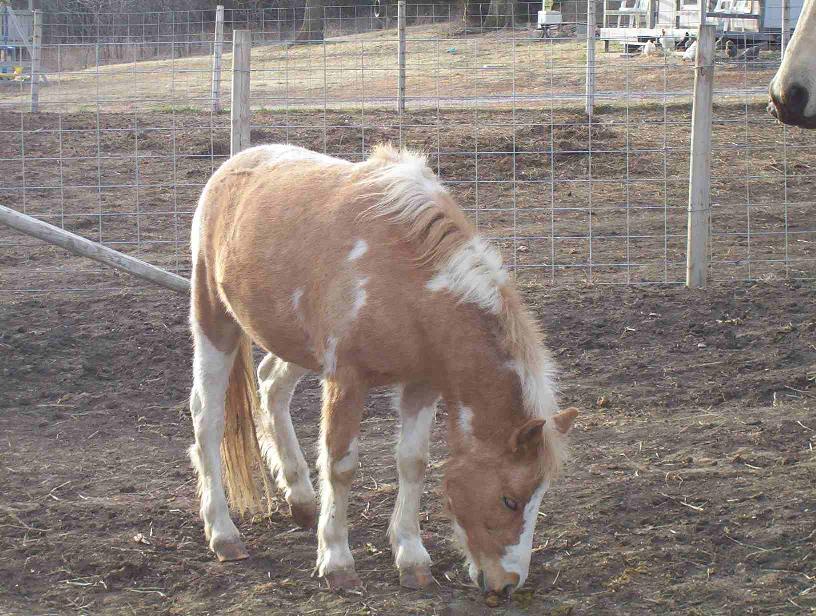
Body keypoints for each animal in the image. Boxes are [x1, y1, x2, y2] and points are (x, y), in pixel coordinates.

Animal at [188, 142, 578, 595]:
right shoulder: (346, 380)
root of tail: (232, 166)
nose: (508, 584)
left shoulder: (422, 384)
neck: (405, 279)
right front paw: (336, 559)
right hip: (215, 323)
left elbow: (414, 462)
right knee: (208, 420)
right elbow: (340, 466)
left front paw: (411, 557)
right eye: (509, 500)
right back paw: (223, 533)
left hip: (295, 346)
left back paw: (300, 498)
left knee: (271, 386)